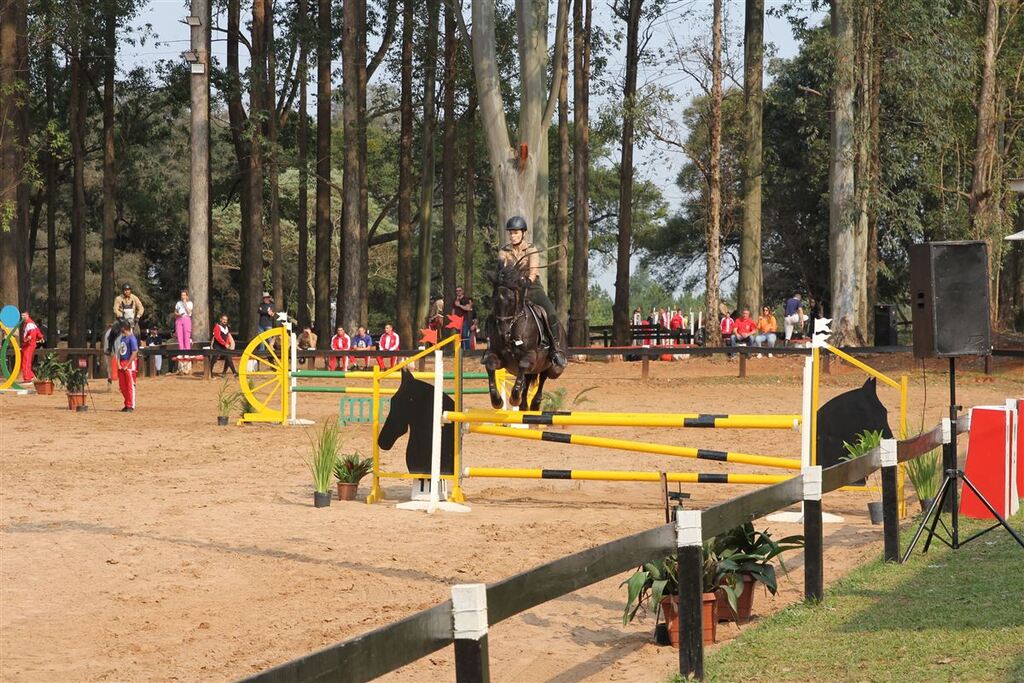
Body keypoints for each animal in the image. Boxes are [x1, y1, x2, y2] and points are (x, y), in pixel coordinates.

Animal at [481, 260, 569, 411]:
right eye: (494, 299)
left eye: (511, 300)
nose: (502, 332)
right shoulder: (497, 356)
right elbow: (491, 365)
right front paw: (497, 400)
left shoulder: (530, 356)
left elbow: (522, 365)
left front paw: (514, 398)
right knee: (528, 379)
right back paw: (523, 404)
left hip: (551, 365)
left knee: (542, 377)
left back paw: (534, 403)